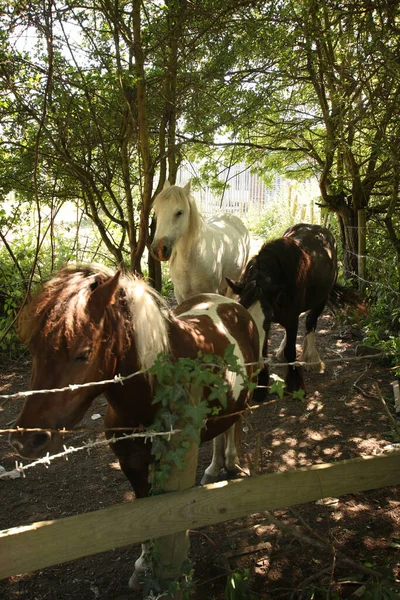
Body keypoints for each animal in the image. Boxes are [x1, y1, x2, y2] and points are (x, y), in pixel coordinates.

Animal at [10, 264, 260, 588]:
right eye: (33, 350)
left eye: (83, 353)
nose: (27, 440)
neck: (152, 391)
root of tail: (232, 305)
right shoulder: (131, 464)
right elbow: (144, 510)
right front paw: (144, 563)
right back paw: (215, 467)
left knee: (235, 425)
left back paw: (232, 462)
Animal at [227, 223, 360, 396]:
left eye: (267, 319)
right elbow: (265, 350)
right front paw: (261, 386)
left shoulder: (289, 318)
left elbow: (291, 350)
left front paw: (295, 383)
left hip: (321, 299)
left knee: (311, 322)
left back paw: (311, 359)